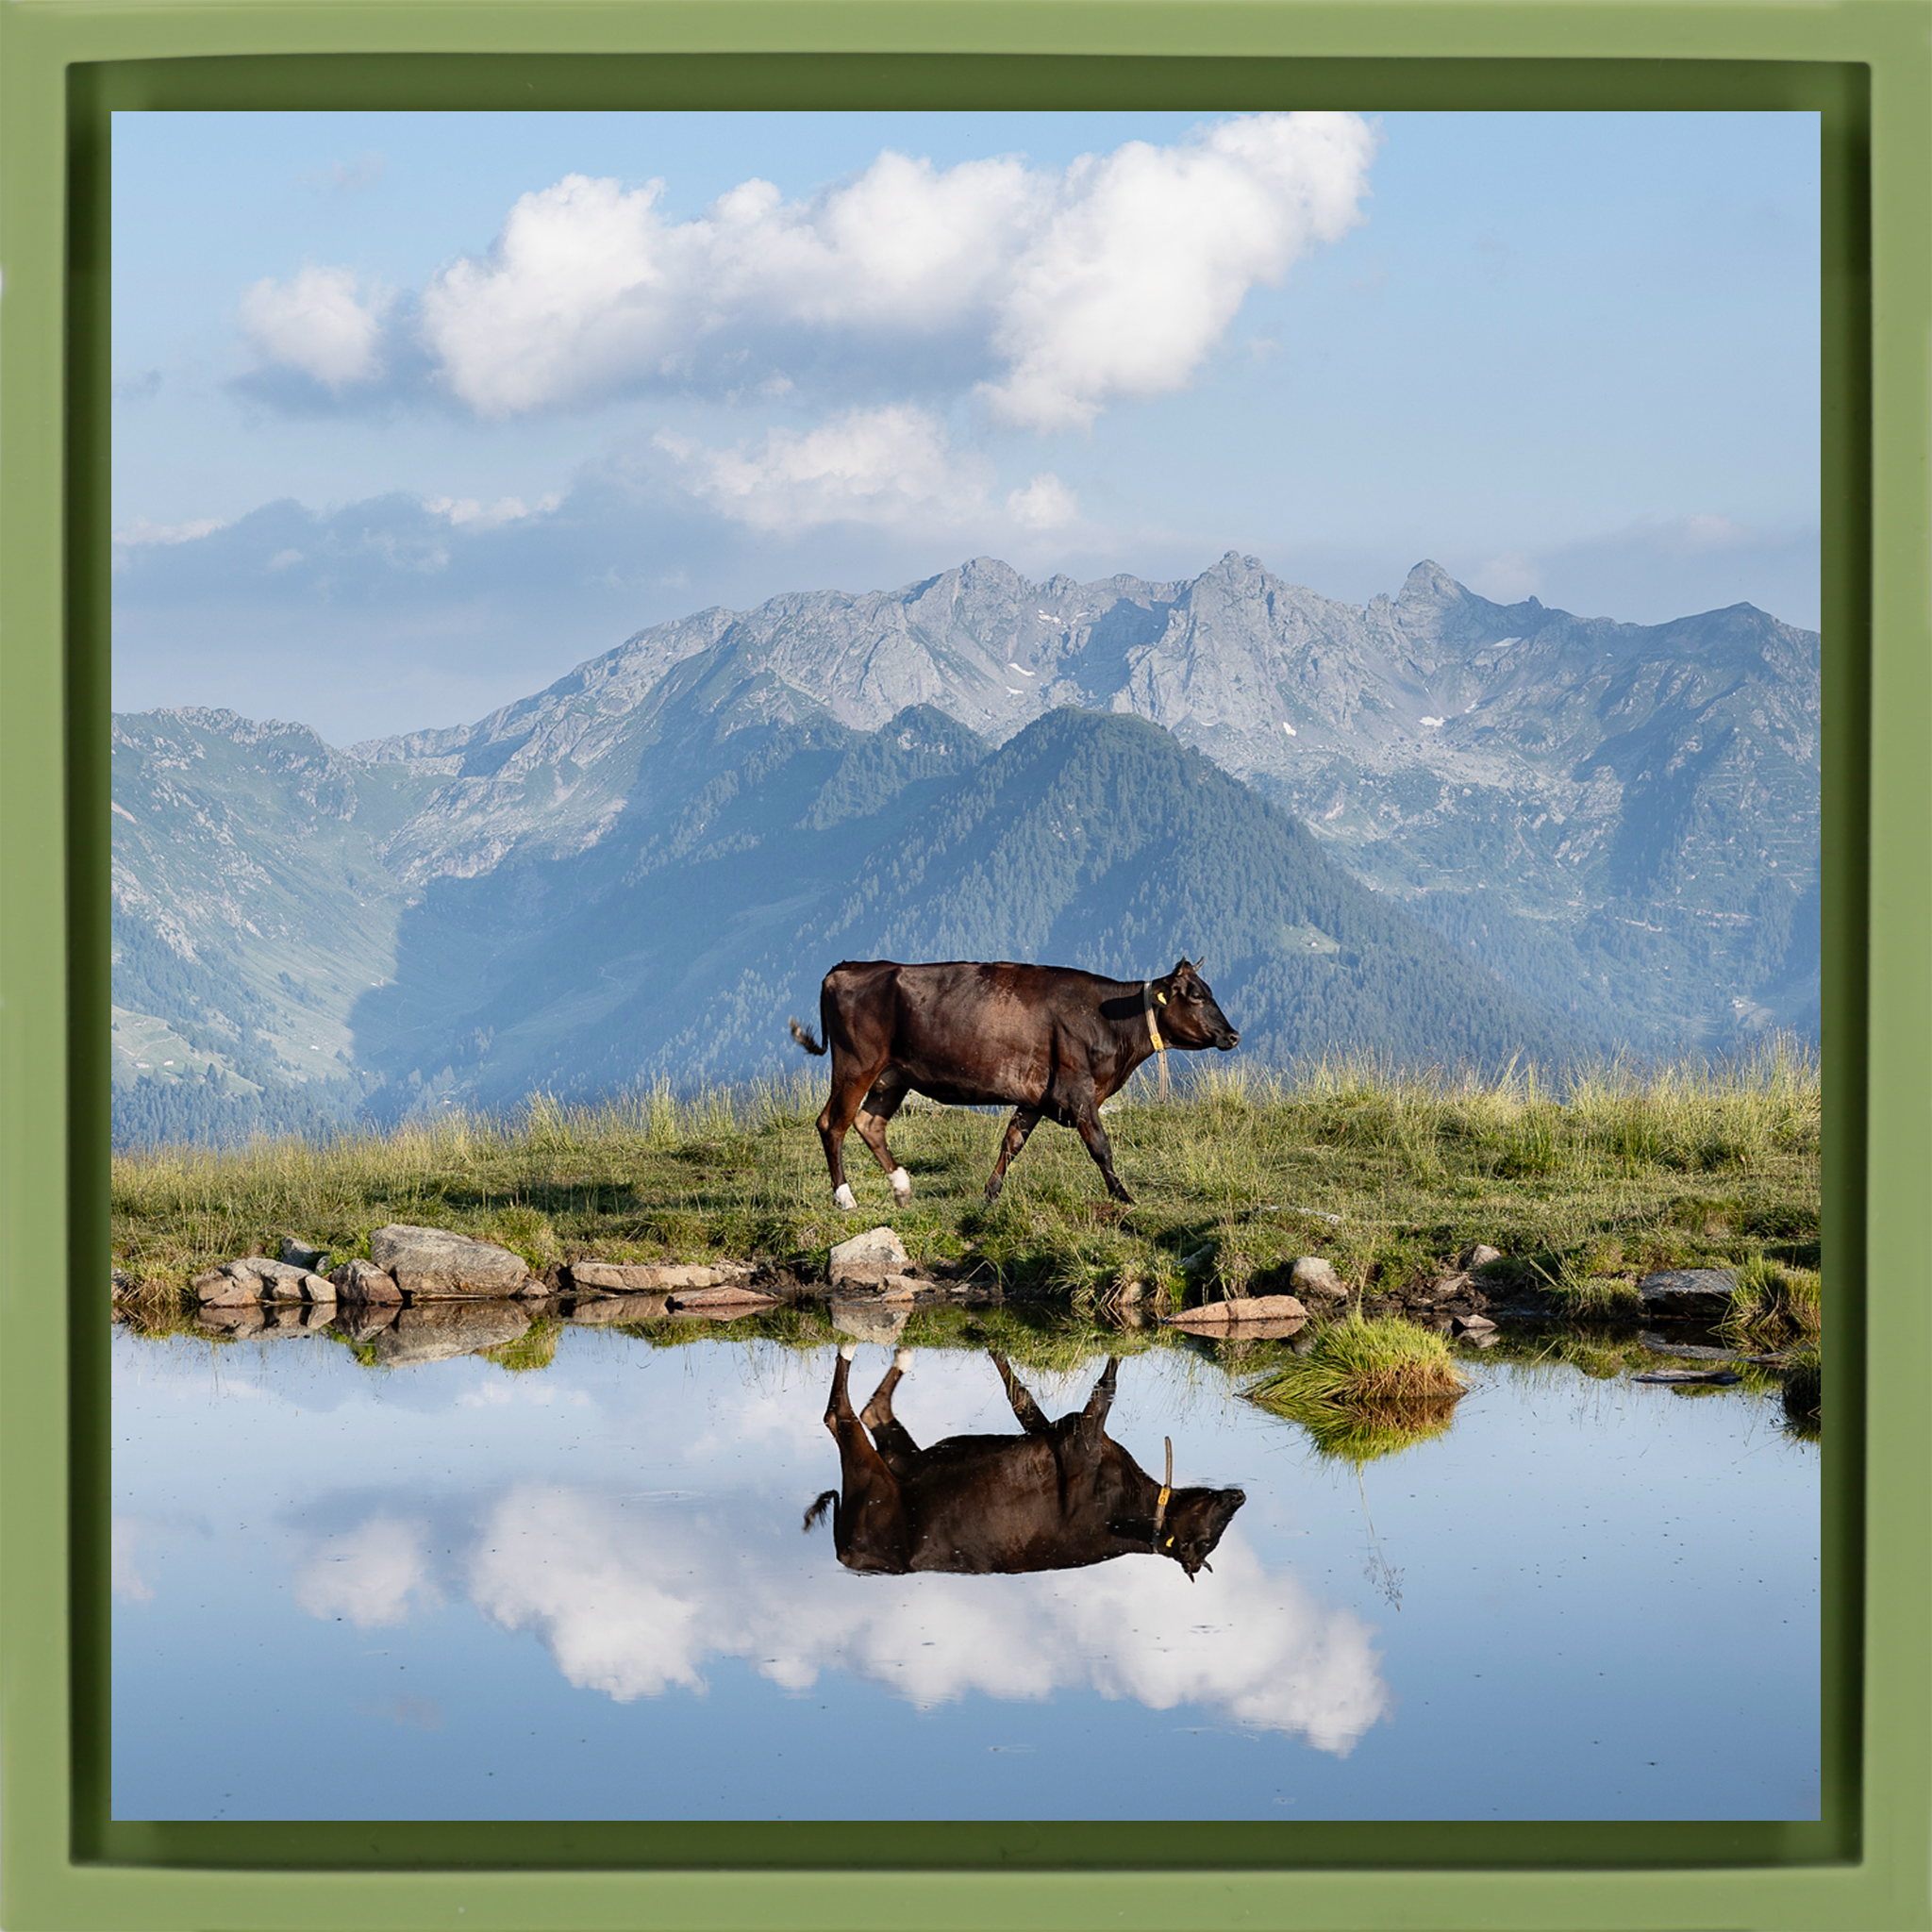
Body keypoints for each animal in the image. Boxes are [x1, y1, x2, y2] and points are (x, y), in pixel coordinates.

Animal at [786, 957, 1238, 1209]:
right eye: (1196, 996)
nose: (1233, 1035)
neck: (1108, 1019)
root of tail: (847, 968)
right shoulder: (1078, 1092)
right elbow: (1101, 1147)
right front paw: (1124, 1196)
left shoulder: (1037, 1097)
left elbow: (1012, 1142)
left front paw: (990, 1194)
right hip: (856, 1064)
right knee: (833, 1124)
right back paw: (845, 1198)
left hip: (892, 1077)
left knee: (869, 1124)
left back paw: (901, 1187)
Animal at [804, 1347, 1247, 1581]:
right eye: (1205, 1540)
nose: (1240, 1495)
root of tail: (846, 1554)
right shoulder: (1075, 1435)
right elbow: (1066, 1388)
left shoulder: (1071, 1435)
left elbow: (1035, 1395)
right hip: (880, 1478)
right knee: (846, 1412)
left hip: (887, 1471)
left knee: (856, 1412)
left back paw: (890, 1354)